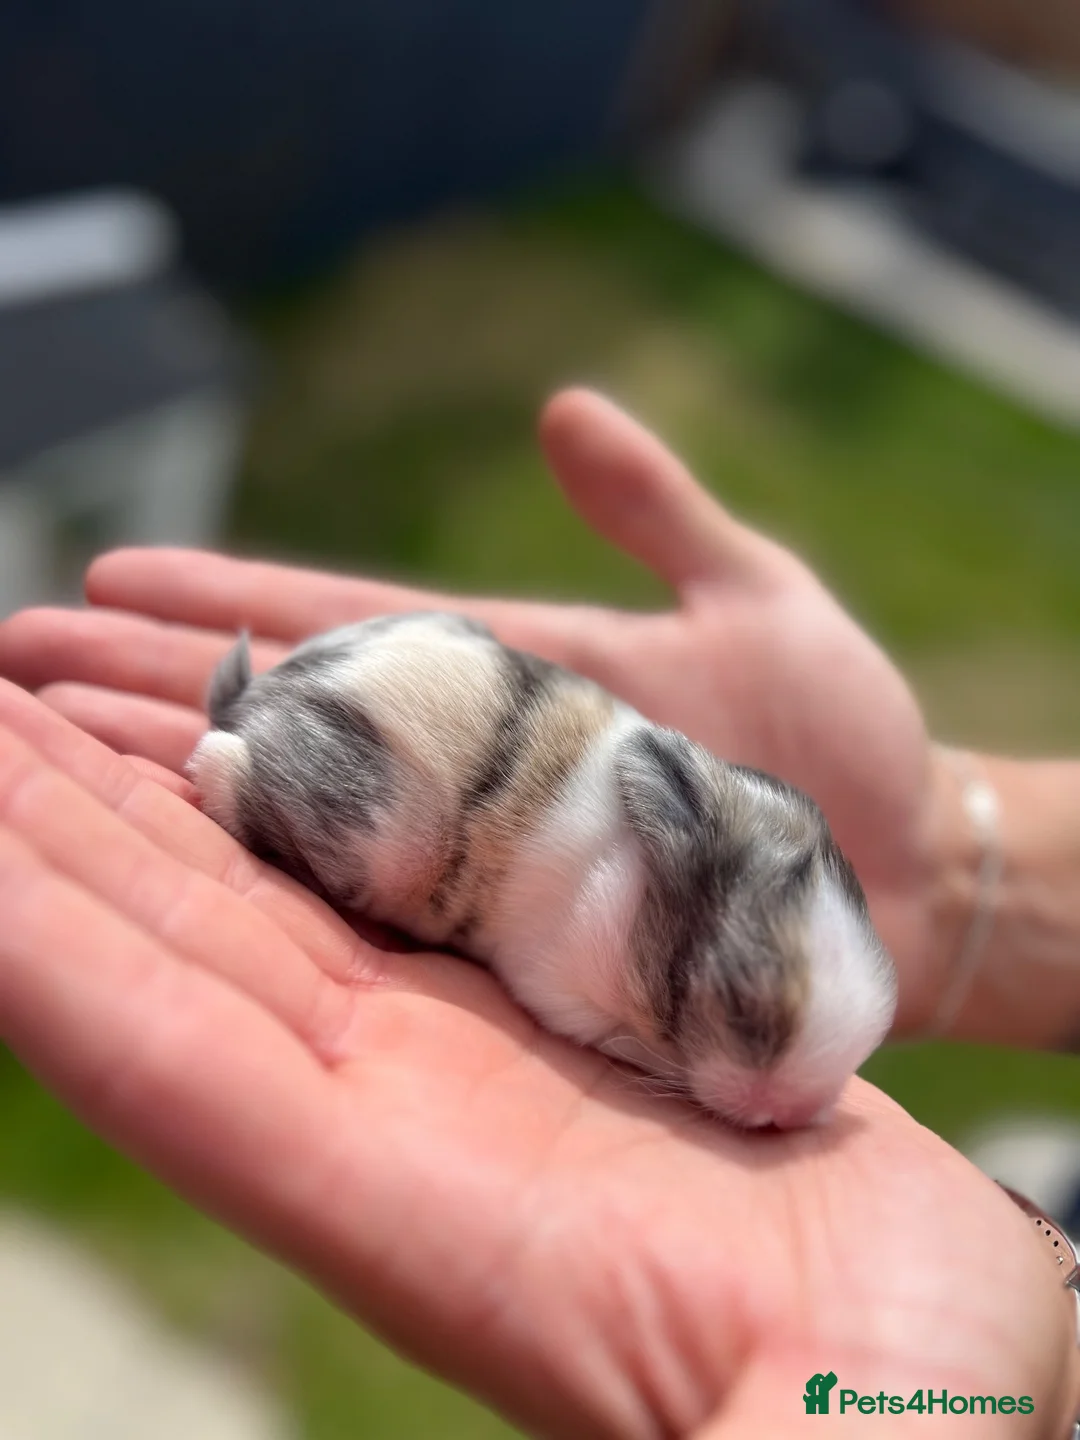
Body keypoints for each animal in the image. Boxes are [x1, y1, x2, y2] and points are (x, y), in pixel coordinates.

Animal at [188, 612, 897, 1129]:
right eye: (736, 1003)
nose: (799, 1112)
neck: (635, 878)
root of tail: (267, 692)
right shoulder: (566, 987)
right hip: (380, 842)